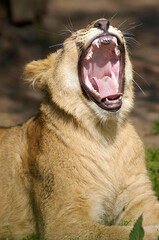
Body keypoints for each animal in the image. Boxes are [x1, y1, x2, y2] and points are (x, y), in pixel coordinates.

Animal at [0, 18, 159, 240]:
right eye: (72, 38)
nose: (102, 22)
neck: (107, 135)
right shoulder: (63, 221)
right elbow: (120, 233)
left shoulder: (139, 198)